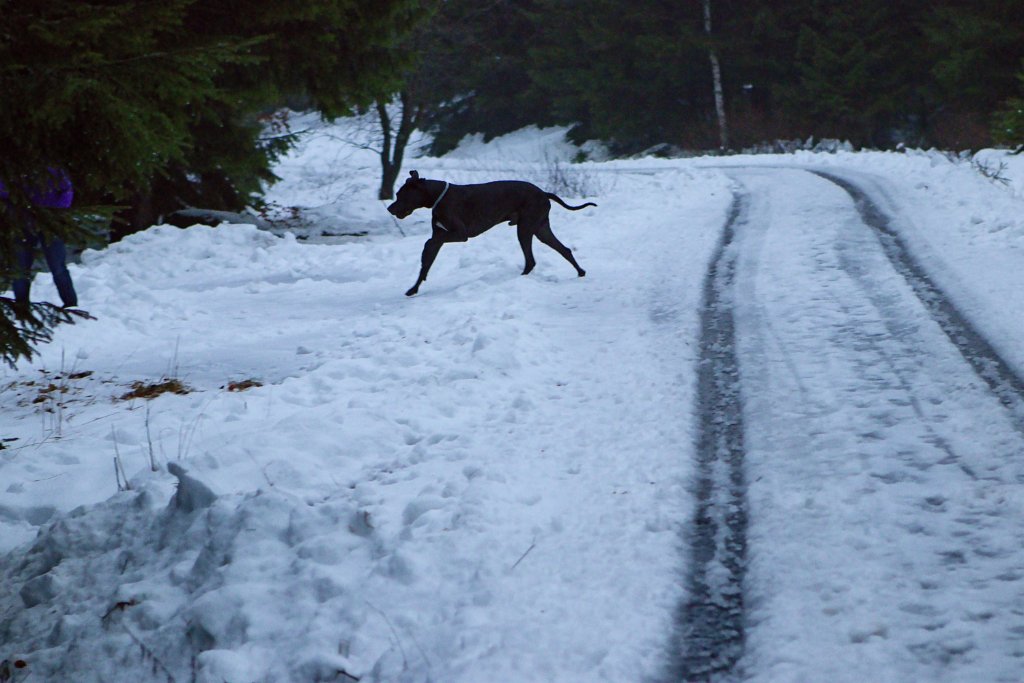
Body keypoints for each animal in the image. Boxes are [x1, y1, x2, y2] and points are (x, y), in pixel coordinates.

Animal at [385, 169, 598, 294]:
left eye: (400, 195)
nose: (389, 208)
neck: (437, 196)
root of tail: (544, 193)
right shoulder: (440, 236)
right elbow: (426, 262)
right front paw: (414, 288)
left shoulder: (460, 234)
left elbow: (429, 243)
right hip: (540, 229)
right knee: (563, 250)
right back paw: (580, 272)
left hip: (525, 228)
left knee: (531, 259)